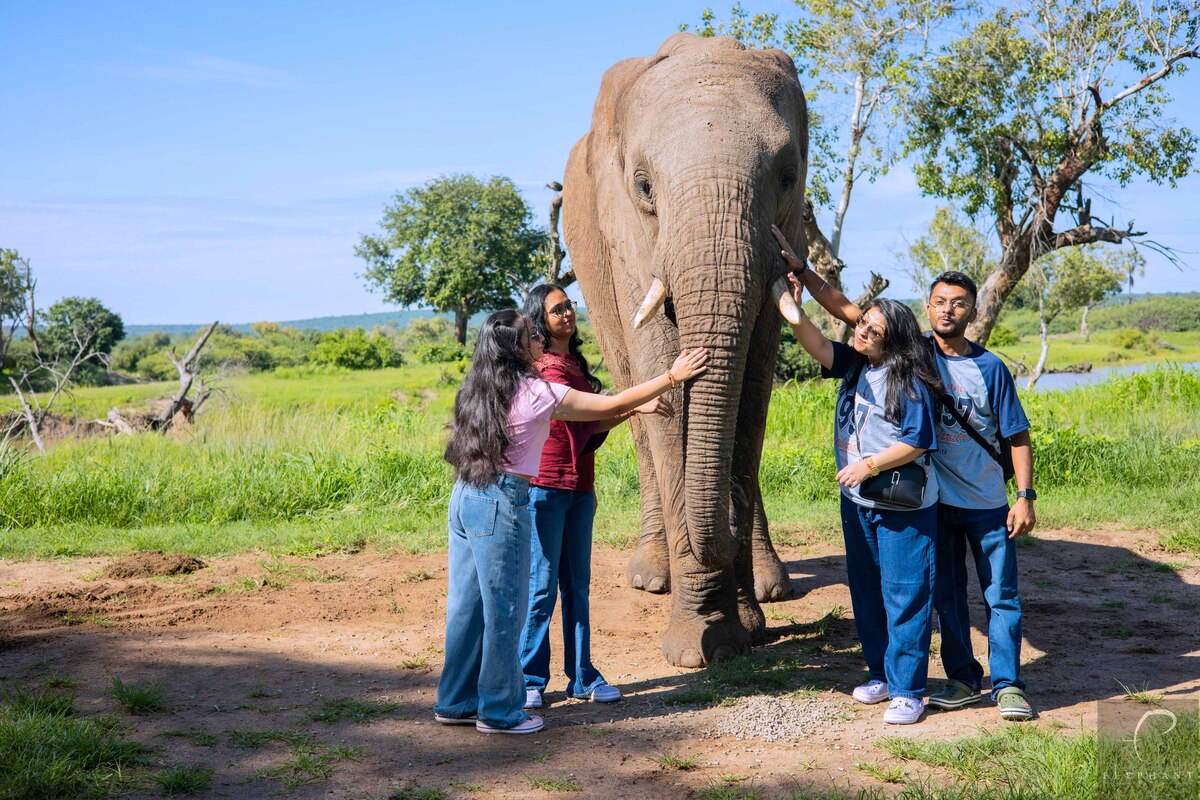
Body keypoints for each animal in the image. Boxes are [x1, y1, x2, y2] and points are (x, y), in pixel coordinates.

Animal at [563, 33, 810, 667]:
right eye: (644, 186)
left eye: (788, 176)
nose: (730, 503)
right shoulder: (627, 241)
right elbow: (661, 385)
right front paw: (703, 648)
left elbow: (753, 391)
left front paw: (745, 628)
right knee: (632, 396)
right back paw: (653, 577)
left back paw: (770, 587)